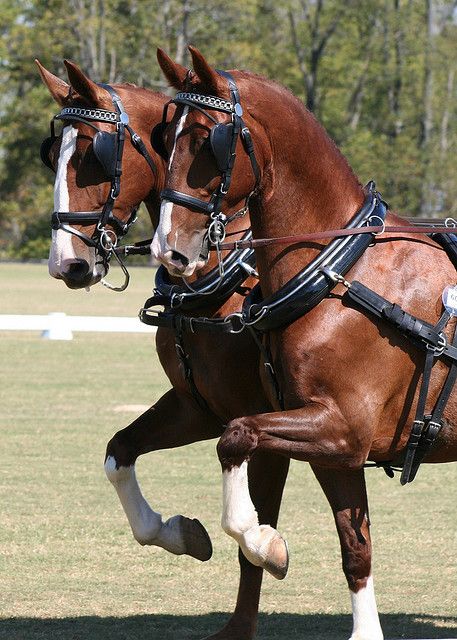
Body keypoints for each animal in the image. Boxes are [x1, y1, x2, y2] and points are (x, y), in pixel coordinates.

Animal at [155, 46, 456, 640]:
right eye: (163, 137)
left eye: (205, 139)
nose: (169, 250)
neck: (337, 271)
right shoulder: (332, 445)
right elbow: (355, 548)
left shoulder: (342, 427)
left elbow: (235, 435)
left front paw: (263, 541)